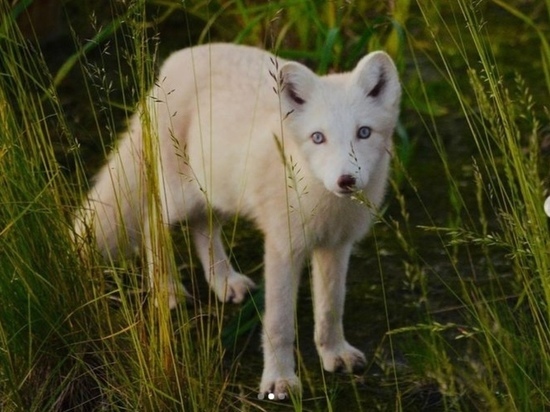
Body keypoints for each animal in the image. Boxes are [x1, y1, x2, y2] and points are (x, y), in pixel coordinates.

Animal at [74, 44, 402, 400]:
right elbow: (279, 324)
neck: (323, 200)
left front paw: (334, 353)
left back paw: (223, 282)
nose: (346, 181)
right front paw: (279, 381)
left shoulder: (336, 246)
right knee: (151, 223)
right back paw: (167, 289)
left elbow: (331, 309)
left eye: (364, 132)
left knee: (202, 228)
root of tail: (177, 58)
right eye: (318, 138)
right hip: (178, 198)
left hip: (217, 195)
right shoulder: (283, 247)